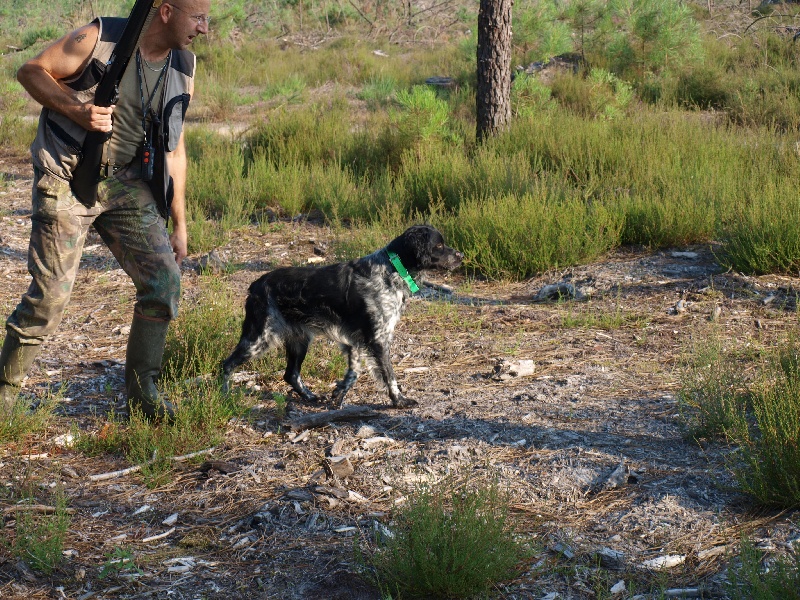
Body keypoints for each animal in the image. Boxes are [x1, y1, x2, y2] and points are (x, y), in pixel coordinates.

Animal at [223, 225, 462, 408]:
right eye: (438, 246)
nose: (461, 256)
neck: (391, 268)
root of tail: (256, 285)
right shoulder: (377, 339)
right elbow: (389, 375)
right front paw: (399, 401)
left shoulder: (355, 340)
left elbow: (353, 373)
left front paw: (338, 394)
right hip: (259, 338)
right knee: (227, 364)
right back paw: (223, 394)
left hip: (299, 340)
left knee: (291, 374)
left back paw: (310, 396)